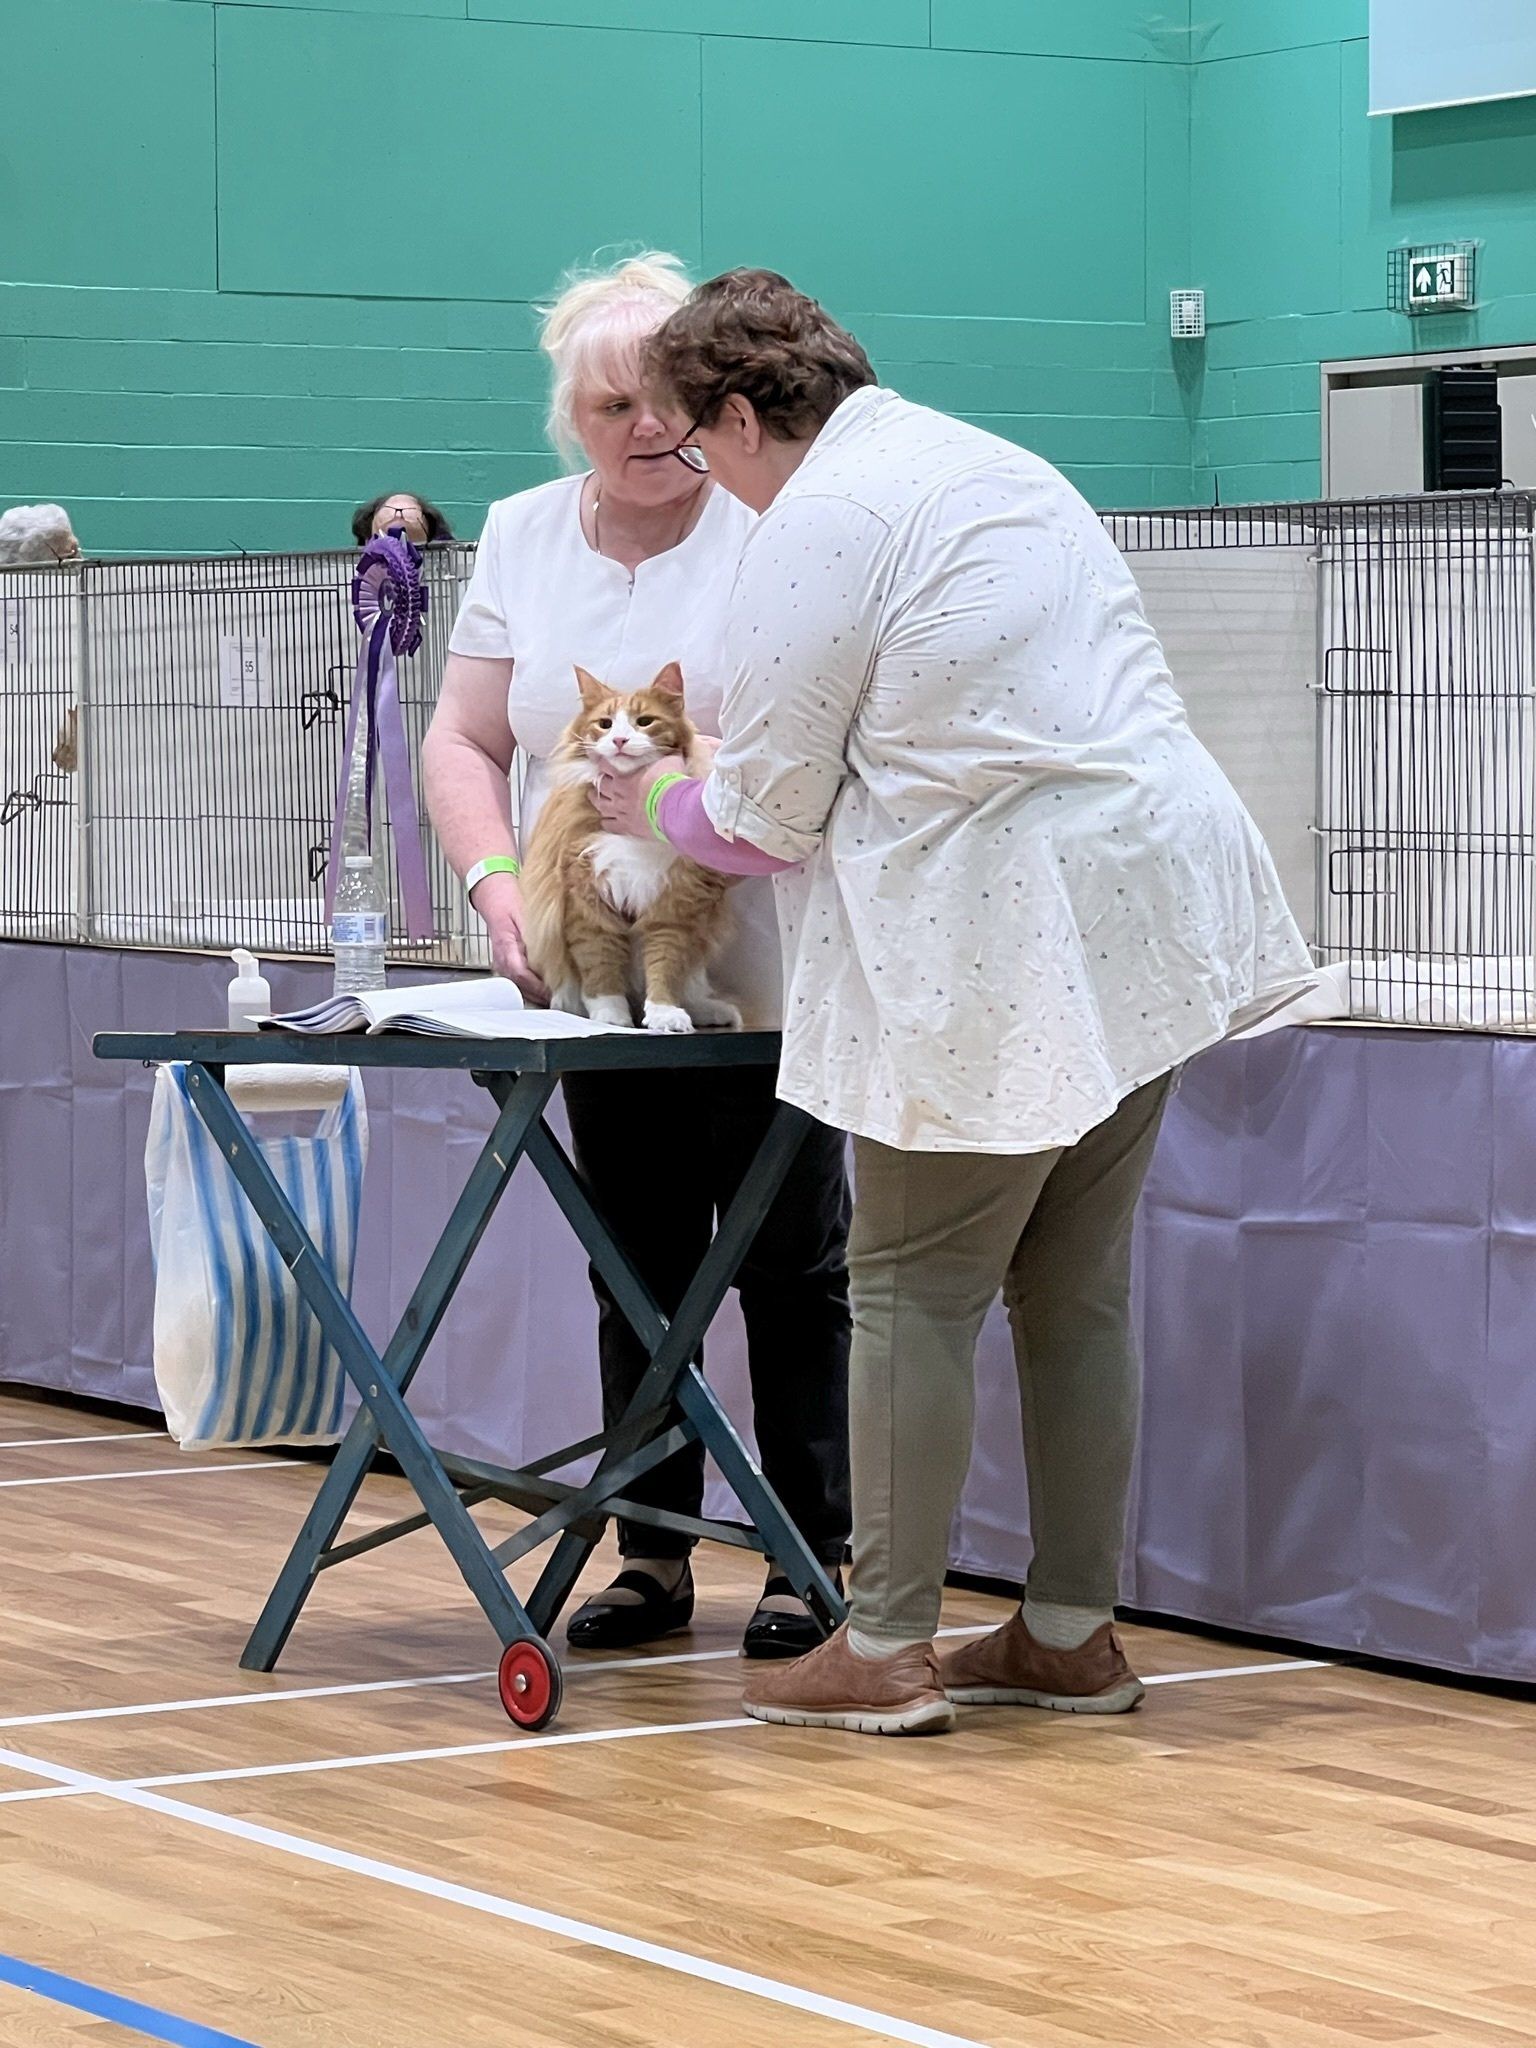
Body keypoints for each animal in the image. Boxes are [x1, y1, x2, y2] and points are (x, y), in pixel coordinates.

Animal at [520, 663, 742, 1034]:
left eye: (645, 721)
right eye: (605, 724)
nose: (620, 741)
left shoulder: (674, 907)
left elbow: (664, 966)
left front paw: (665, 1013)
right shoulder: (586, 901)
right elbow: (601, 966)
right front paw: (610, 1016)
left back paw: (708, 1011)